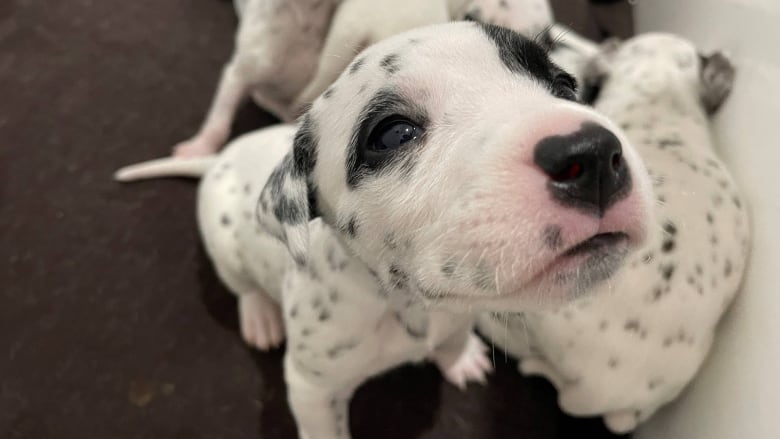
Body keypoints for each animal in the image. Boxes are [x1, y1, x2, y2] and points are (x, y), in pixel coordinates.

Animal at [119, 22, 656, 438]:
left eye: (564, 84)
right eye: (394, 134)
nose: (591, 155)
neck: (405, 303)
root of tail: (219, 159)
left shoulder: (459, 311)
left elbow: (453, 337)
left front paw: (458, 358)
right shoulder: (313, 389)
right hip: (223, 243)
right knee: (241, 284)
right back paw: (259, 316)